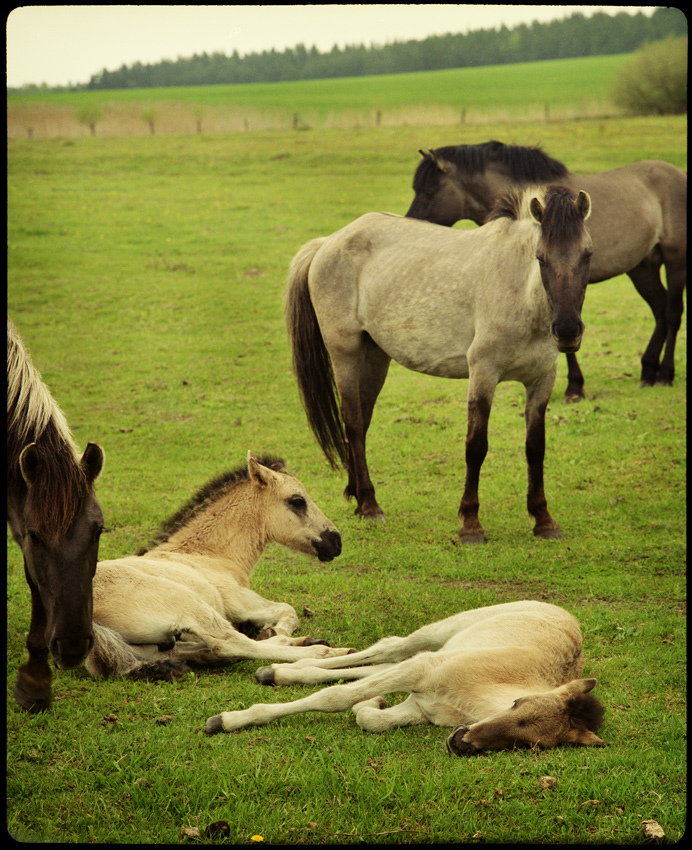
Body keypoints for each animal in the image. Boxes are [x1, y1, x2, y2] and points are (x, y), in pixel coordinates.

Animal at [86, 450, 354, 684]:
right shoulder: (239, 600)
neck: (209, 556)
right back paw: (322, 651)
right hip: (191, 604)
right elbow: (288, 610)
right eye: (297, 501)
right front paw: (275, 631)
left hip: (152, 645)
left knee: (193, 651)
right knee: (228, 644)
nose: (336, 542)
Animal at [205, 596, 604, 756]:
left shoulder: (419, 707)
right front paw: (227, 720)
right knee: (389, 648)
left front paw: (373, 703)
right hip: (440, 633)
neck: (467, 704)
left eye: (528, 744)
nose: (460, 743)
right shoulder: (421, 671)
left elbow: (370, 718)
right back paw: (278, 670)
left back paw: (283, 672)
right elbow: (335, 698)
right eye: (516, 704)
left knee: (379, 664)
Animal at [284, 186, 592, 544]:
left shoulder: (542, 380)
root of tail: (327, 243)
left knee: (361, 421)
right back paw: (371, 505)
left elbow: (535, 447)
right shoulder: (483, 373)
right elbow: (476, 446)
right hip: (344, 353)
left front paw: (543, 519)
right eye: (541, 257)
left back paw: (359, 500)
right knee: (354, 422)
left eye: (587, 255)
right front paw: (470, 524)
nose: (568, 331)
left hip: (374, 357)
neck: (520, 290)